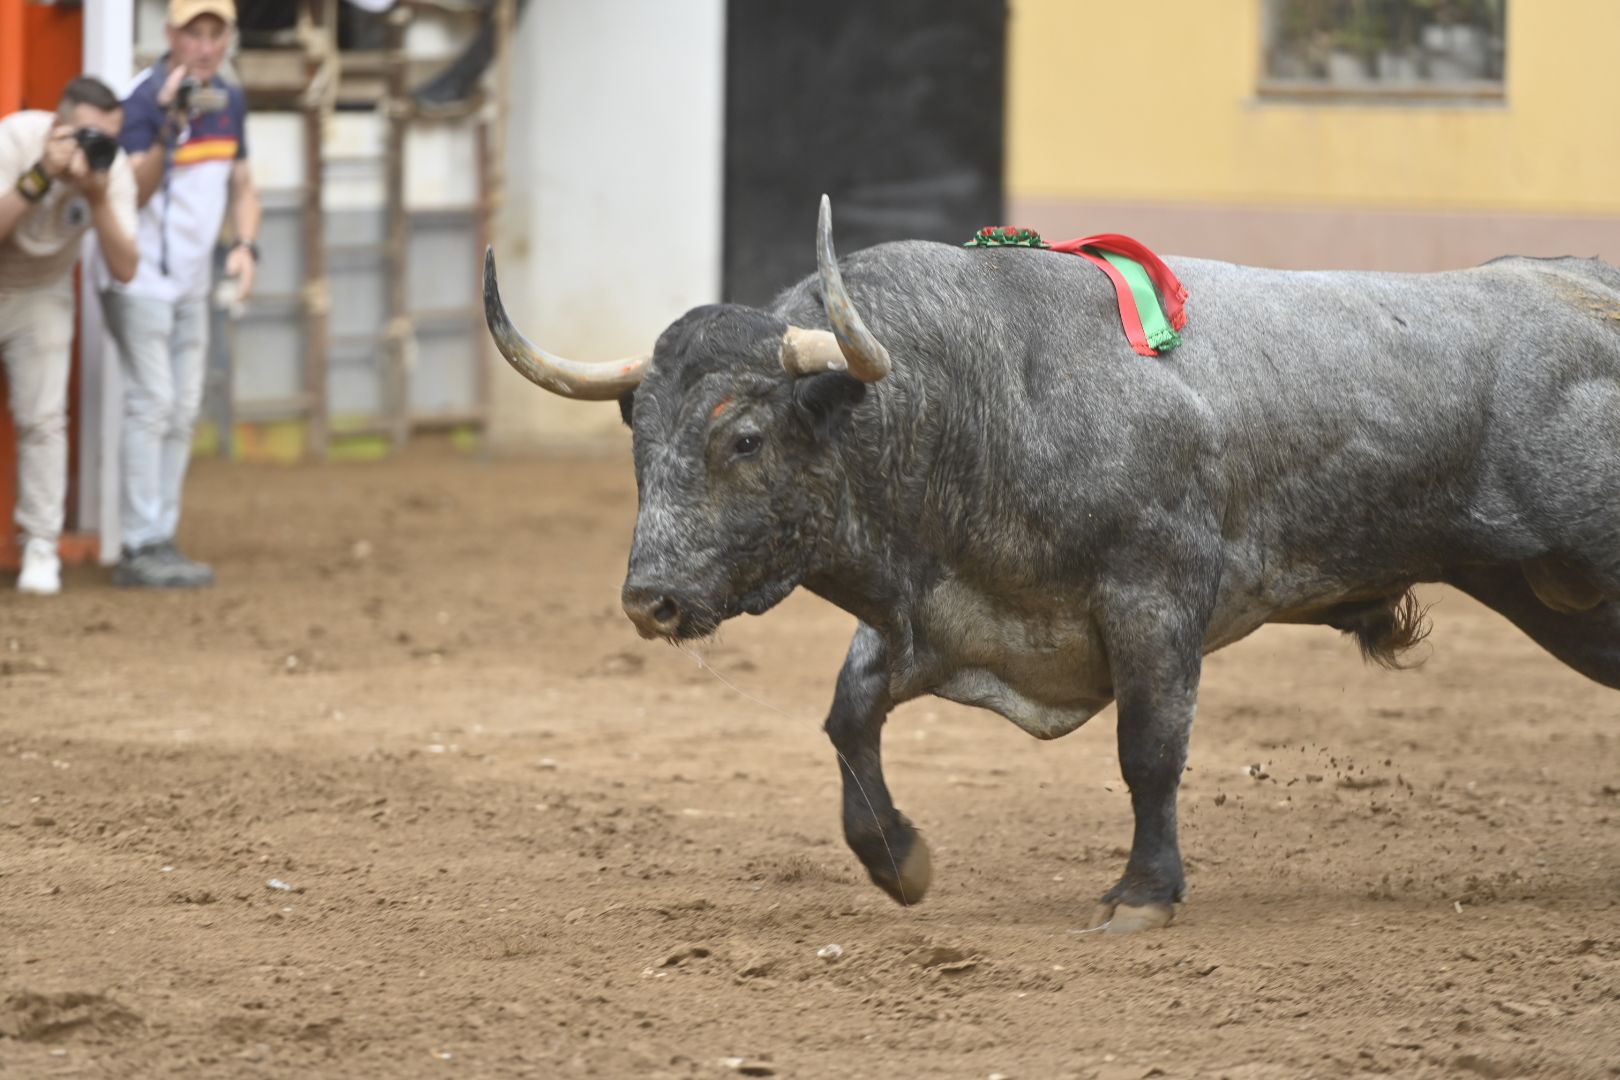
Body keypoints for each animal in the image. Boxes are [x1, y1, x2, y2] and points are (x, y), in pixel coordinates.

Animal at [479, 198, 1620, 932]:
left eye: (745, 438)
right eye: (638, 441)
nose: (653, 601)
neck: (985, 394)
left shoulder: (1156, 600)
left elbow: (1148, 752)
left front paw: (1143, 895)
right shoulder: (940, 617)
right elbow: (848, 717)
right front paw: (898, 860)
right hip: (1558, 600)